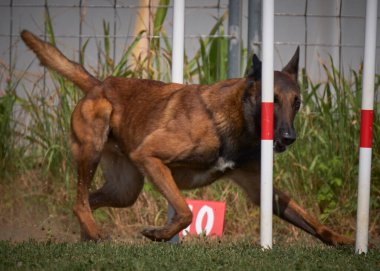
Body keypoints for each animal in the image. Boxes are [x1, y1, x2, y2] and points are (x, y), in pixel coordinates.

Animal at [20, 29, 354, 246]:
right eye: (271, 101)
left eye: (296, 102)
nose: (289, 136)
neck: (236, 120)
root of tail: (98, 84)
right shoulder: (150, 157)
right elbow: (185, 211)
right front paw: (160, 234)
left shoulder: (260, 188)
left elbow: (311, 220)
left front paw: (343, 240)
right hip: (94, 146)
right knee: (79, 202)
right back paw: (95, 233)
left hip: (125, 189)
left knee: (86, 201)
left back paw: (87, 235)